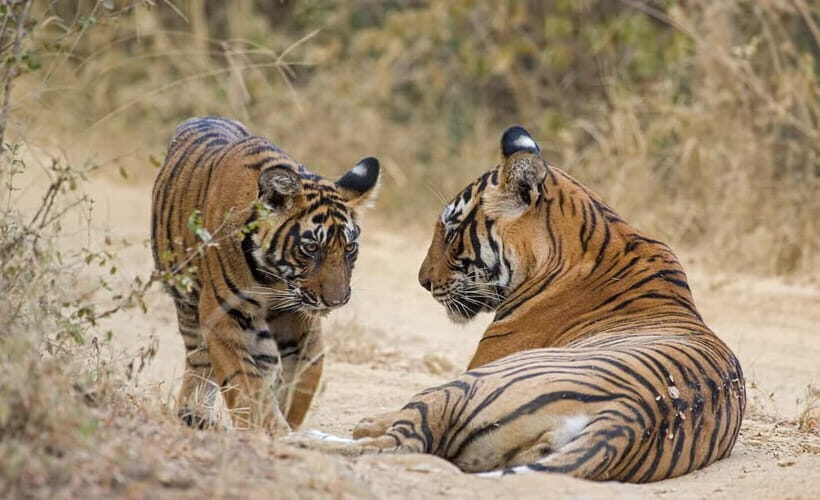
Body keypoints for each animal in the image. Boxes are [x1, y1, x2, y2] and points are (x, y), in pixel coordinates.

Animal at [151, 116, 379, 436]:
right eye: (311, 248)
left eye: (349, 248)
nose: (335, 301)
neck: (274, 279)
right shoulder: (223, 315)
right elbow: (245, 382)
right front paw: (269, 428)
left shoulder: (299, 318)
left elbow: (306, 375)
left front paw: (287, 421)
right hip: (186, 300)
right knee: (199, 359)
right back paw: (194, 414)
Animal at [282, 125, 745, 482]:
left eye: (451, 230)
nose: (422, 281)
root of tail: (628, 418)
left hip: (462, 386)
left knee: (399, 443)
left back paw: (302, 439)